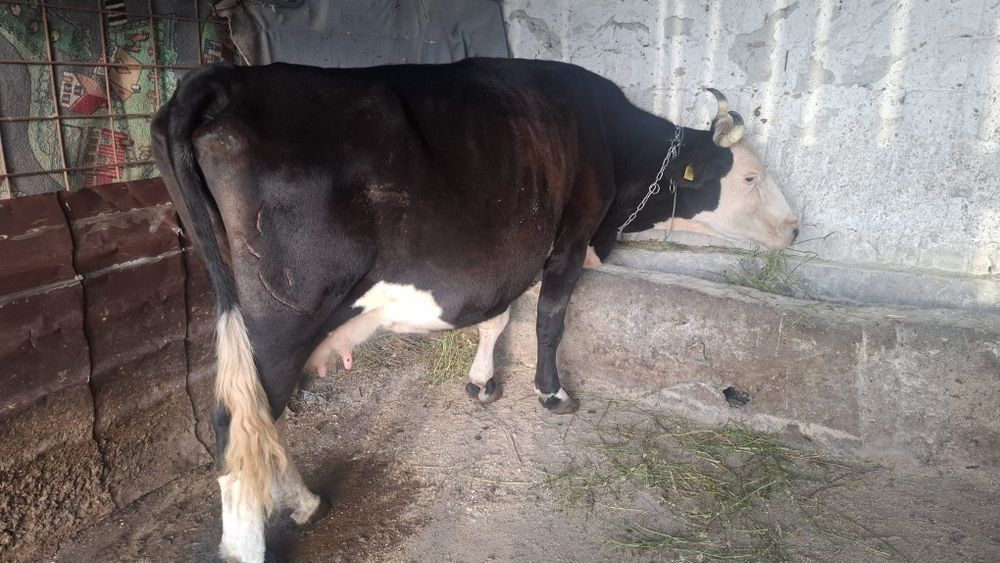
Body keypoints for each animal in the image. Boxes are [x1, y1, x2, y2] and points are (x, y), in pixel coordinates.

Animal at [150, 57, 798, 562]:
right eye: (750, 176)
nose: (795, 228)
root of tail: (218, 80)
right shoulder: (569, 238)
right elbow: (550, 319)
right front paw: (551, 392)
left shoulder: (511, 256)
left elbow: (498, 318)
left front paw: (483, 382)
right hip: (282, 318)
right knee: (236, 422)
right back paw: (256, 536)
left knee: (256, 416)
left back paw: (305, 502)